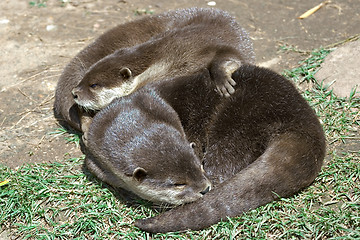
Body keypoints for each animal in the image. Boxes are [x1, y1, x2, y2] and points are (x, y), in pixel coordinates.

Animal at [54, 7, 255, 133]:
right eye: (84, 77)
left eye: (94, 85)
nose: (75, 92)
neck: (169, 57)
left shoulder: (205, 46)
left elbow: (228, 57)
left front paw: (223, 81)